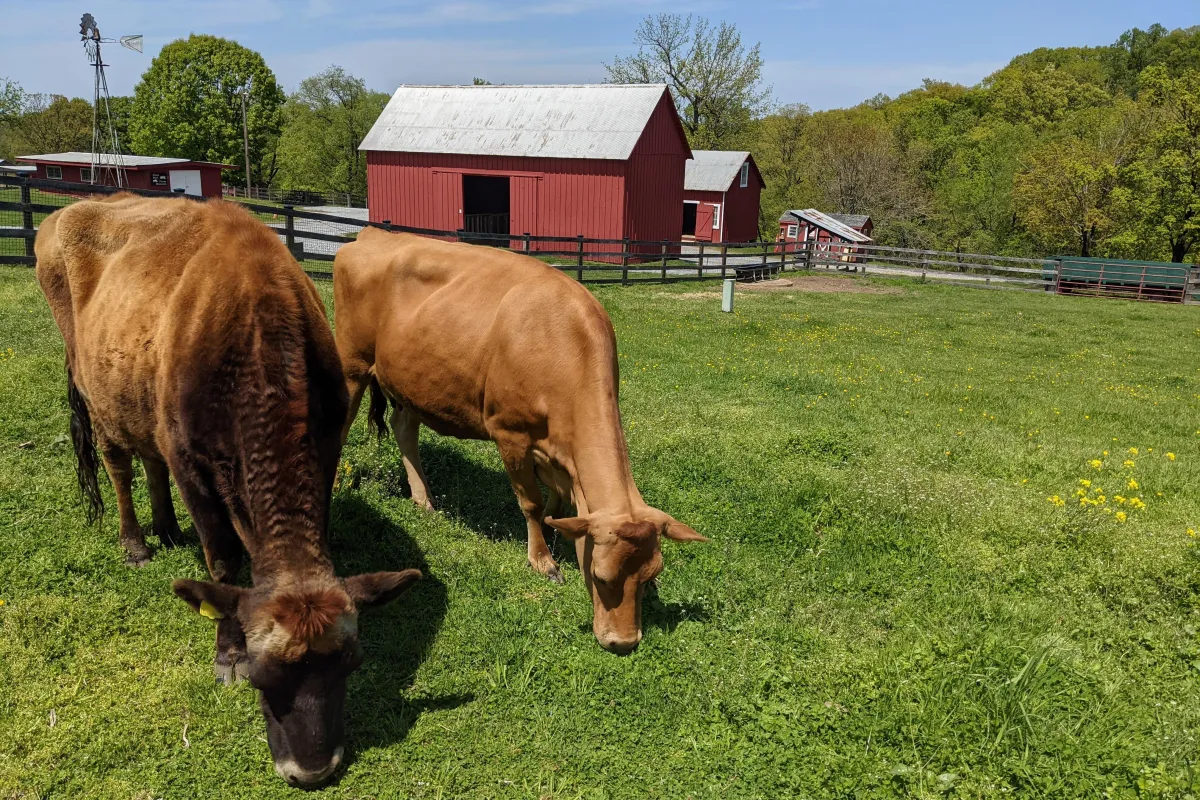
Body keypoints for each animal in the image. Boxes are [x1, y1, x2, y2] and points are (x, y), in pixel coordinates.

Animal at [35, 194, 421, 787]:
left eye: (351, 665)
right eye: (262, 677)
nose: (313, 770)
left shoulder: (327, 445)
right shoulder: (191, 462)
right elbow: (221, 562)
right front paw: (226, 652)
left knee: (149, 459)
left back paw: (168, 528)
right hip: (94, 388)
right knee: (119, 463)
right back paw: (136, 542)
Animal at [333, 228, 706, 654]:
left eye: (650, 577)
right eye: (600, 575)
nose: (623, 642)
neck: (562, 345)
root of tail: (373, 233)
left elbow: (556, 499)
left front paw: (555, 525)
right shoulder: (509, 433)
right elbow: (530, 502)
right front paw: (542, 559)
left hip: (413, 381)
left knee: (403, 427)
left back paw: (423, 499)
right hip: (352, 364)